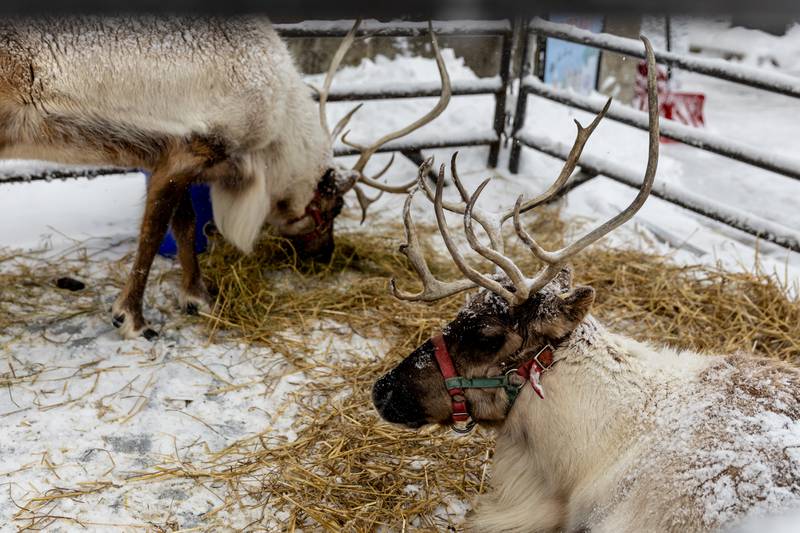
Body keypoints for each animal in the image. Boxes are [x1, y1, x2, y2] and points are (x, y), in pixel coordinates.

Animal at [0, 17, 448, 339]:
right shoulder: (188, 153)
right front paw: (132, 319)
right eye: (332, 209)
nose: (326, 254)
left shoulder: (171, 159)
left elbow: (184, 226)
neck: (274, 138)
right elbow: (152, 236)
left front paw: (197, 298)